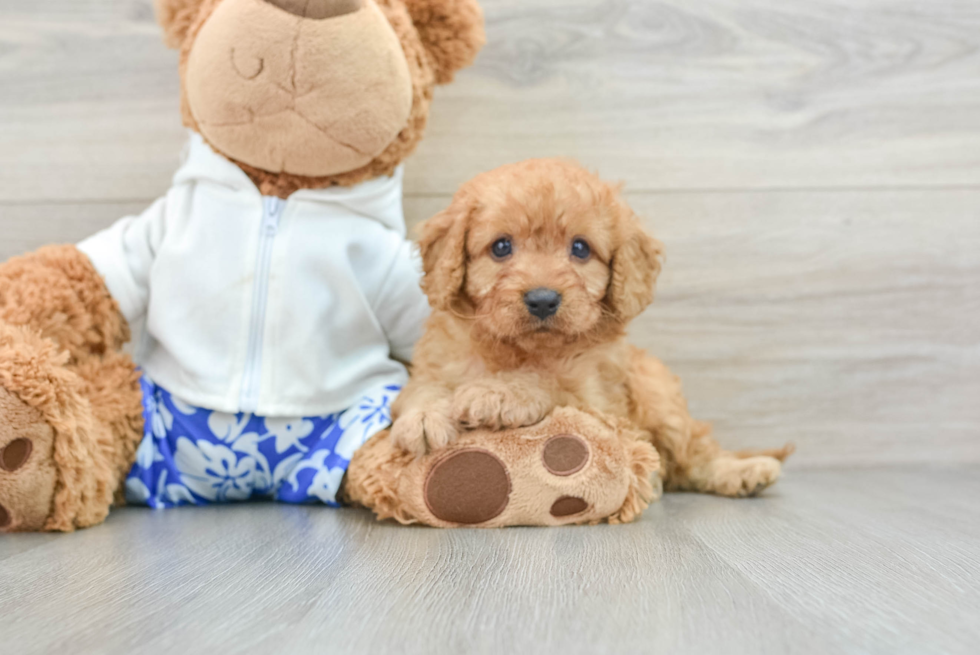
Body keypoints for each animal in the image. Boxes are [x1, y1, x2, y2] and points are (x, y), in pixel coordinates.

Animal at [386, 159, 792, 498]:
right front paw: (424, 416)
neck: (520, 348)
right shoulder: (436, 363)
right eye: (501, 247)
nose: (543, 299)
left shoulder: (598, 404)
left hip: (658, 393)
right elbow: (419, 390)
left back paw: (744, 471)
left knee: (695, 453)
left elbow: (549, 381)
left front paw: (499, 392)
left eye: (580, 249)